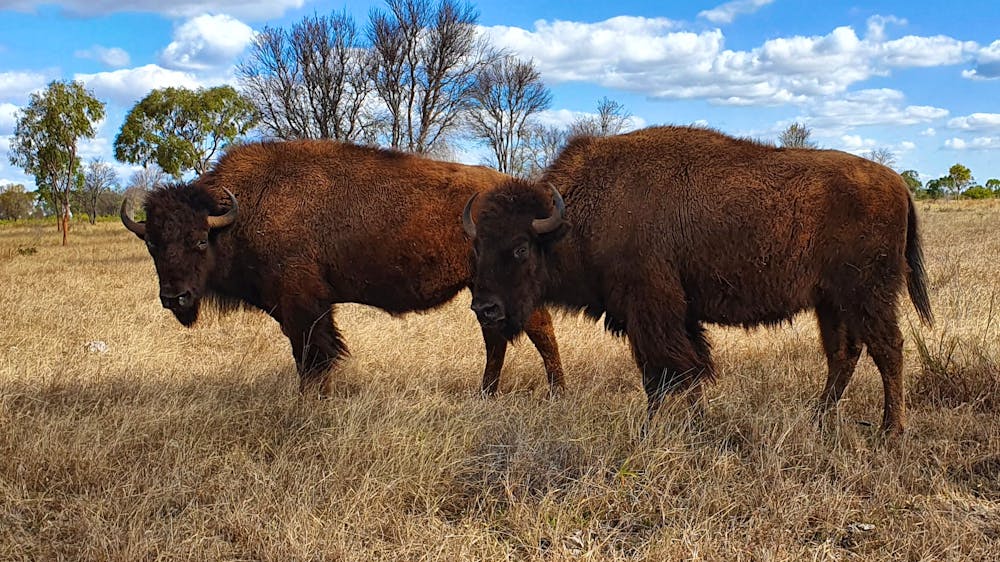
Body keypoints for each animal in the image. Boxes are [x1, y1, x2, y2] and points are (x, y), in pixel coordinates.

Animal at [119, 140, 564, 394]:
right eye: (152, 244)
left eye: (198, 240)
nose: (175, 297)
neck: (241, 211)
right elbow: (310, 357)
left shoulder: (302, 307)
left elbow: (313, 357)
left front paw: (310, 402)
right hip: (483, 292)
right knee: (495, 338)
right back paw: (486, 393)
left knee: (538, 328)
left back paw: (555, 392)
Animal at [464, 126, 932, 434]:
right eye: (478, 247)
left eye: (521, 248)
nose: (484, 307)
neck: (573, 219)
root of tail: (897, 182)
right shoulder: (672, 316)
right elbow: (680, 371)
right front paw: (684, 423)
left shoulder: (651, 312)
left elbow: (669, 371)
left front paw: (667, 427)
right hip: (831, 302)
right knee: (843, 355)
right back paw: (818, 420)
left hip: (867, 294)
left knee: (887, 349)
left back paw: (891, 431)